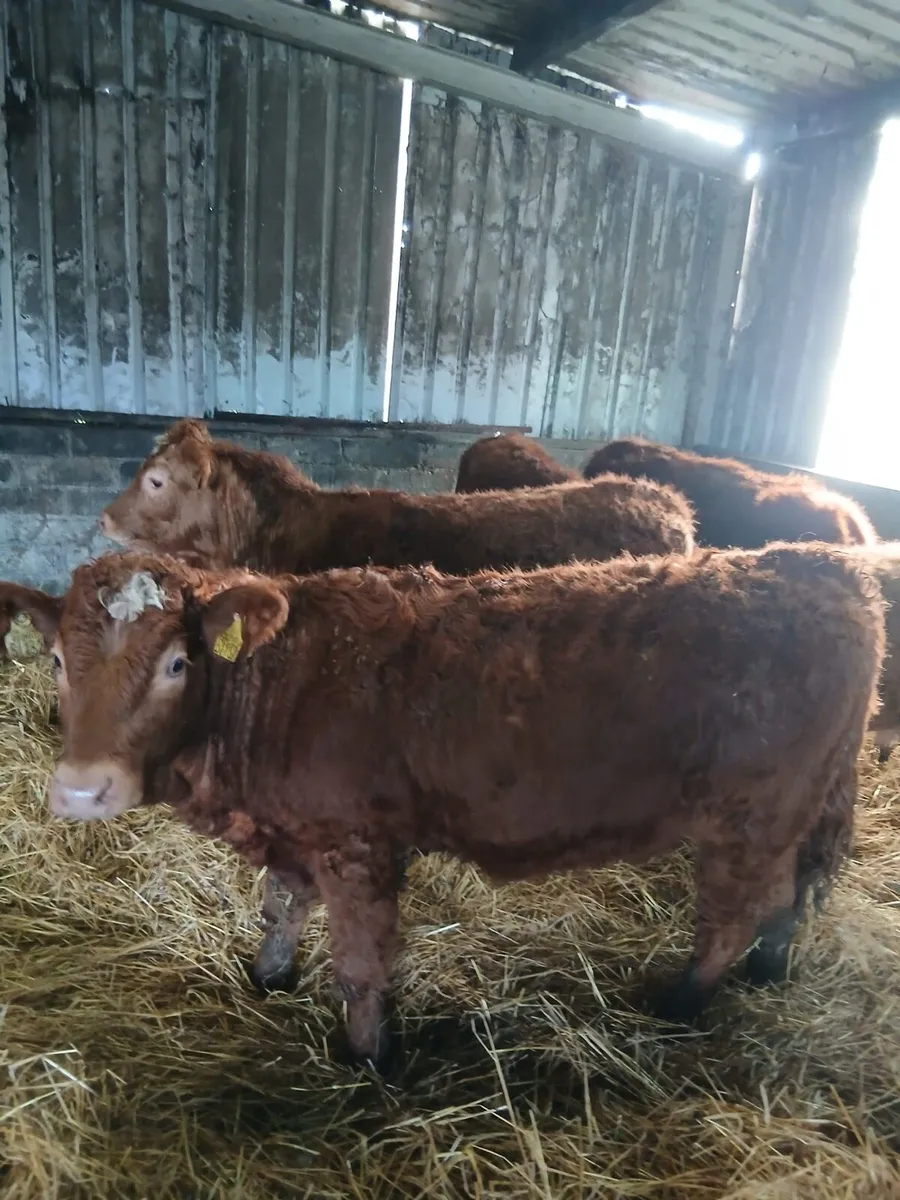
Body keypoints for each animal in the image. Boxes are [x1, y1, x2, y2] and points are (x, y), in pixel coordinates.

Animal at [0, 541, 883, 1069]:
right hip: (796, 808)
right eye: (56, 659)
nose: (82, 788)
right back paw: (768, 969)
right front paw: (270, 976)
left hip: (752, 814)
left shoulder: (358, 843)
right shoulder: (296, 834)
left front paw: (367, 1060)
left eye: (179, 662)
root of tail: (821, 563)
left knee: (736, 912)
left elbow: (359, 966)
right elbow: (280, 907)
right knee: (791, 893)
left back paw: (682, 1000)